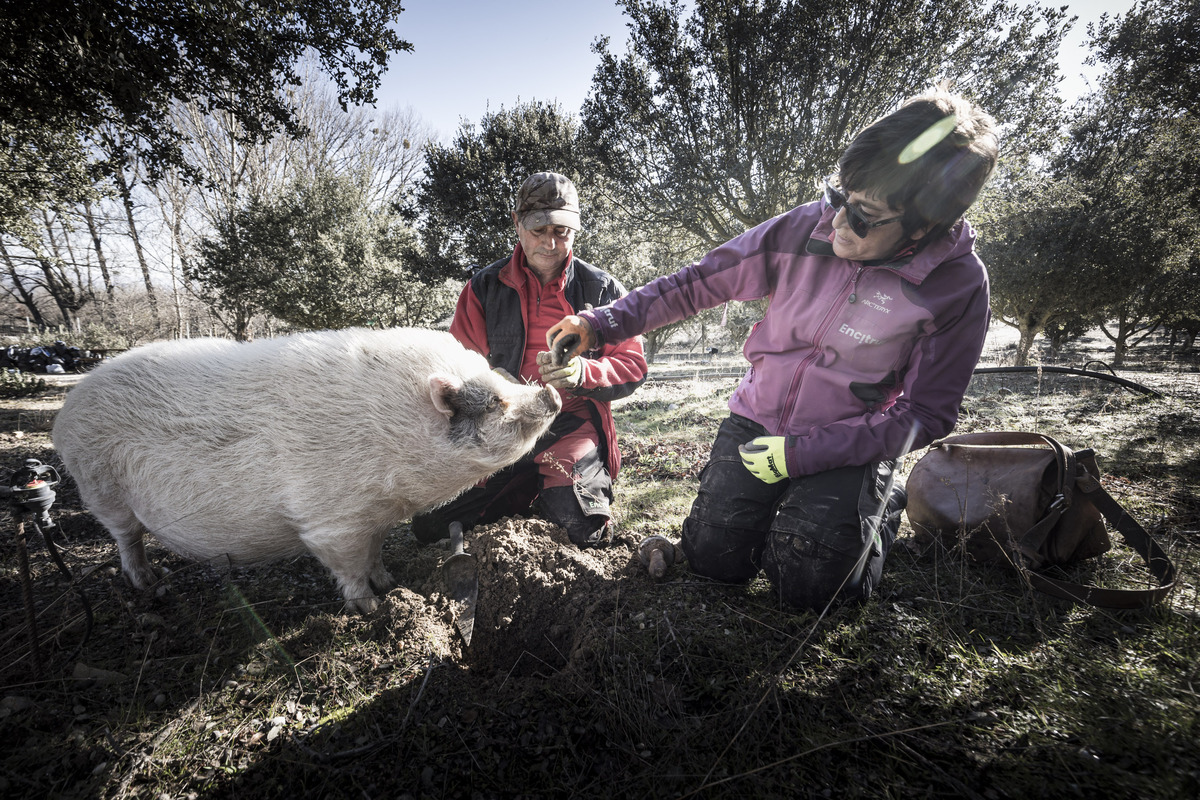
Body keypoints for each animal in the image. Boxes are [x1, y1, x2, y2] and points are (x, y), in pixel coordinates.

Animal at [51, 326, 561, 614]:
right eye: (492, 401)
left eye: (500, 377)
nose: (551, 393)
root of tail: (66, 410)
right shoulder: (331, 520)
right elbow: (348, 565)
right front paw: (372, 608)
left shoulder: (374, 517)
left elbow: (375, 554)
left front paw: (391, 583)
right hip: (100, 488)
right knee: (126, 539)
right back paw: (149, 584)